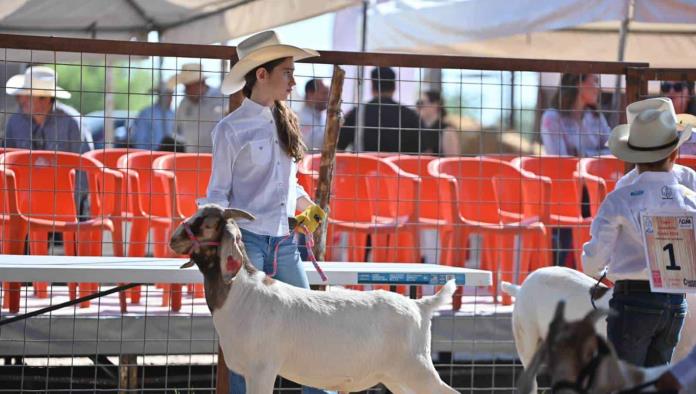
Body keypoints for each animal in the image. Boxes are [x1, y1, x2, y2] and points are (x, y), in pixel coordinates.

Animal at [170, 205, 462, 394]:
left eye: (206, 224)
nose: (173, 239)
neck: (242, 293)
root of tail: (421, 306)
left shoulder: (262, 369)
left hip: (416, 367)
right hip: (396, 376)